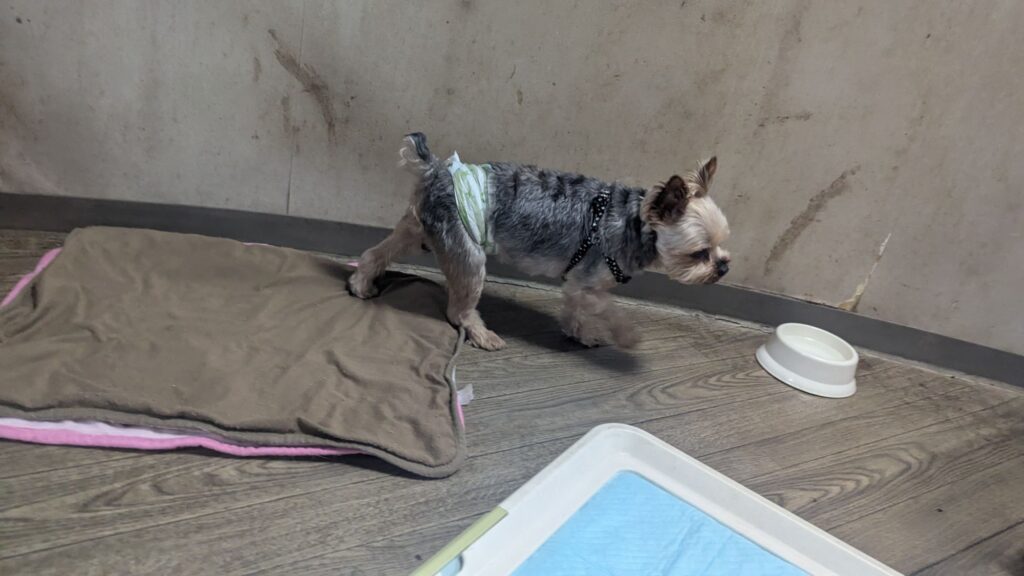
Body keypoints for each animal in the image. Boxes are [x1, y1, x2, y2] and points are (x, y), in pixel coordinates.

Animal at [348, 133, 731, 351]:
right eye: (700, 254)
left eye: (723, 245)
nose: (724, 266)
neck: (635, 222)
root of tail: (437, 170)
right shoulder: (589, 282)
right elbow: (608, 309)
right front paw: (625, 337)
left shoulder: (577, 284)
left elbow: (574, 309)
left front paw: (578, 334)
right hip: (468, 252)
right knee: (458, 309)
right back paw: (482, 334)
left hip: (416, 228)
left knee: (375, 254)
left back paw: (361, 284)